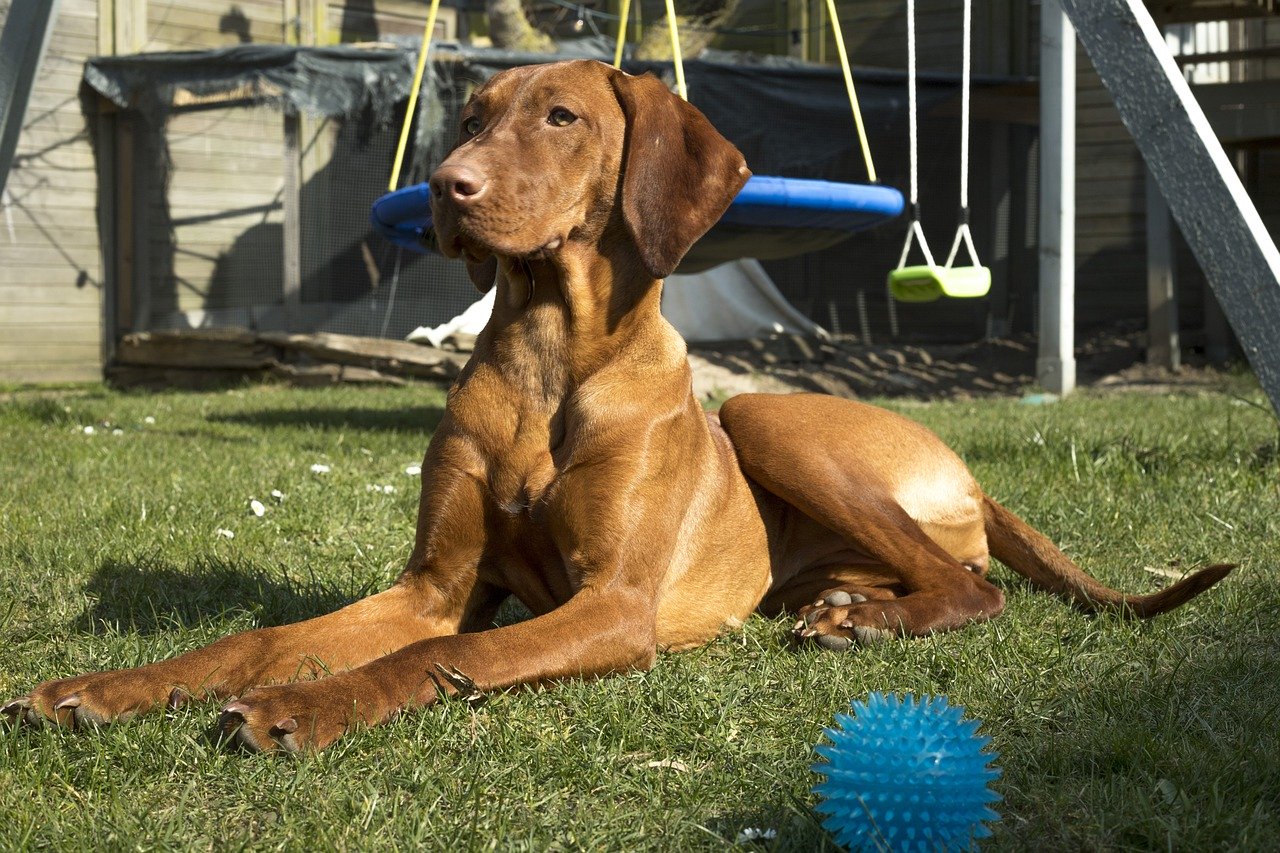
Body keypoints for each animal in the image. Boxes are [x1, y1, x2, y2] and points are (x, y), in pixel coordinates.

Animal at [5, 61, 1233, 753]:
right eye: (470, 115)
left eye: (559, 118)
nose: (446, 188)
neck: (550, 356)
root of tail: (972, 475)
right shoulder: (433, 584)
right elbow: (268, 635)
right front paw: (106, 688)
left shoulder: (614, 608)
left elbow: (426, 656)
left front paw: (303, 708)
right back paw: (846, 608)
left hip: (769, 418)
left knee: (975, 587)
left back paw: (873, 621)